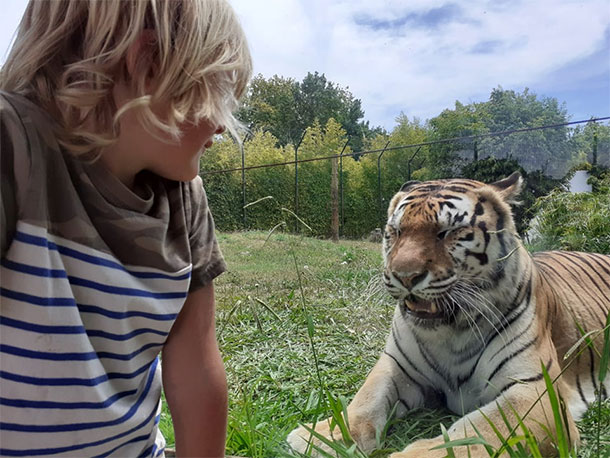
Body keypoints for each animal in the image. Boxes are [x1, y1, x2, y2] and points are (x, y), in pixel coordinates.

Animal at [286, 173, 608, 458]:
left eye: (447, 232)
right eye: (397, 232)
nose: (404, 276)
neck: (452, 332)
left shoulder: (536, 391)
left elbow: (479, 431)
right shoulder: (397, 366)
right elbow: (366, 399)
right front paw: (323, 437)